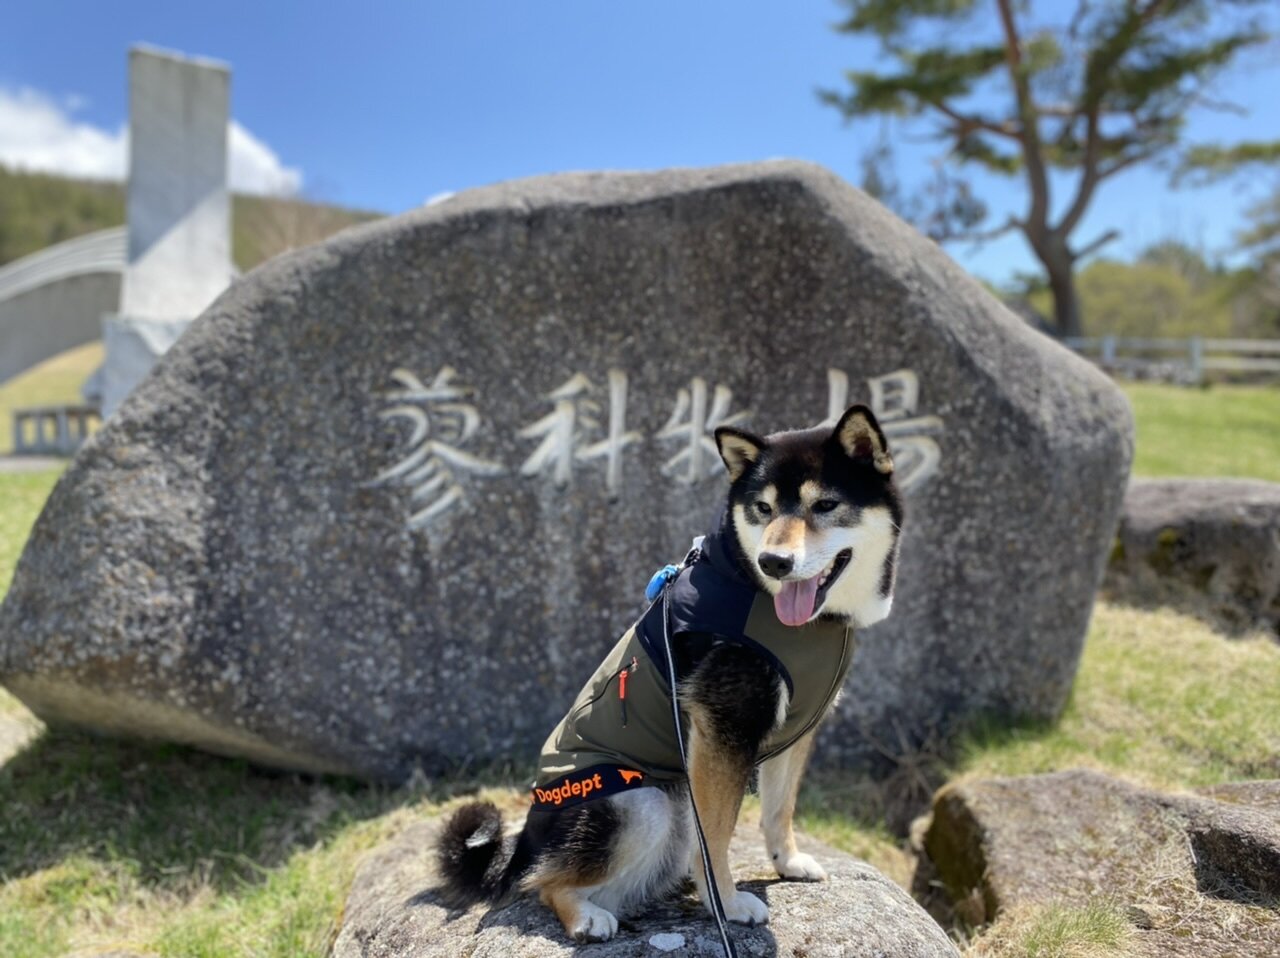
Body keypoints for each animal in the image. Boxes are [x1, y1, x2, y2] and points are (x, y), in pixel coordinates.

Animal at [435, 402, 906, 942]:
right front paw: (726, 903)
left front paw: (786, 861)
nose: (774, 561)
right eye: (763, 509)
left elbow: (778, 806)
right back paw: (585, 916)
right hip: (641, 802)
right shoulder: (722, 731)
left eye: (825, 505)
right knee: (543, 882)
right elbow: (718, 834)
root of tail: (525, 842)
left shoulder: (799, 725)